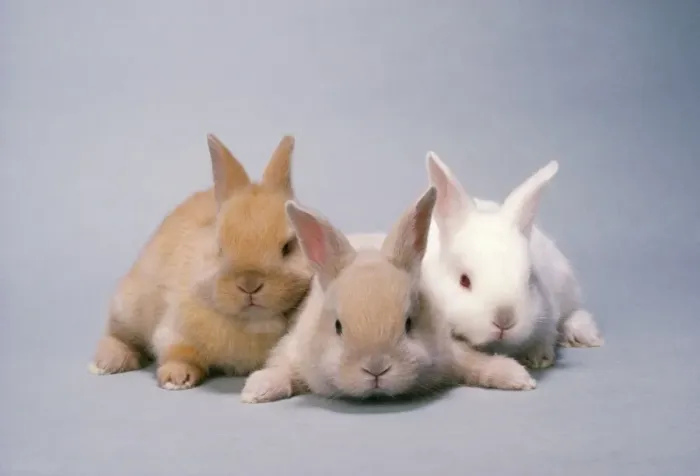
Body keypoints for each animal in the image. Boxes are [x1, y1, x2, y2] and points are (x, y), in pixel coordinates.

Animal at [88, 134, 314, 390]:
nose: (249, 284)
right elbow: (179, 353)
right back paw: (107, 363)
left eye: (288, 247)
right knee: (117, 335)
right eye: (220, 247)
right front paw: (176, 379)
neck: (253, 322)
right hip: (128, 307)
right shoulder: (173, 330)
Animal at [240, 187, 538, 404]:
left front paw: (516, 377)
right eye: (338, 327)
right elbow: (281, 369)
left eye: (409, 324)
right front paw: (257, 390)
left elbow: (475, 362)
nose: (376, 369)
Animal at [420, 151, 603, 378]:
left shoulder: (547, 312)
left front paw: (538, 358)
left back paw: (584, 335)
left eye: (529, 279)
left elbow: (546, 334)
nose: (504, 320)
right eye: (464, 281)